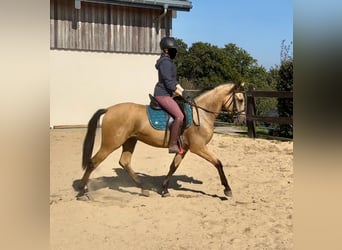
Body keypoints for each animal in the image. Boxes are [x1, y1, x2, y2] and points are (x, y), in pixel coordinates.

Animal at [77, 83, 246, 198]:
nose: (242, 120)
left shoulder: (184, 149)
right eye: (240, 99)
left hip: (130, 141)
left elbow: (173, 167)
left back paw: (144, 188)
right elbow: (218, 163)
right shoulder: (198, 147)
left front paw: (164, 189)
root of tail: (109, 109)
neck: (201, 115)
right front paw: (227, 189)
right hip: (111, 143)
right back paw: (81, 191)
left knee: (124, 162)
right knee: (93, 162)